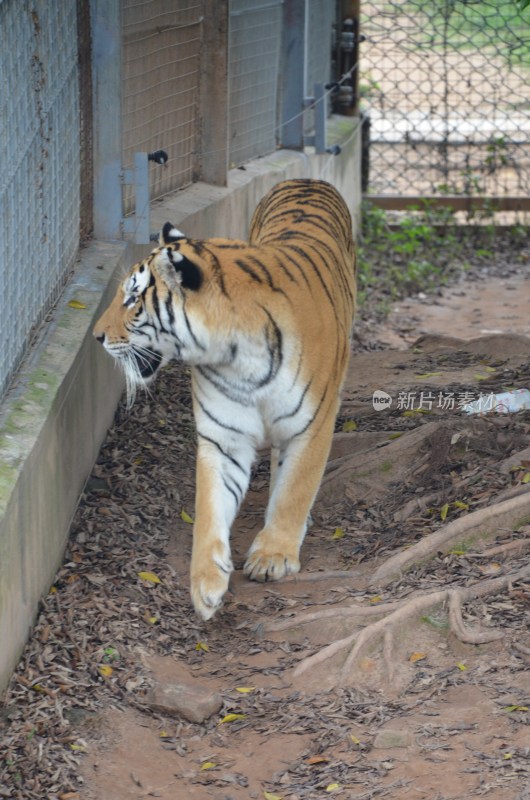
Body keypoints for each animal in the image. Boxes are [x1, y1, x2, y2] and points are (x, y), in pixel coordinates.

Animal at [93, 178, 356, 620]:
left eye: (132, 299)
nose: (95, 336)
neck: (237, 355)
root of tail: (306, 180)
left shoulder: (312, 423)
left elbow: (295, 488)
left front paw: (273, 555)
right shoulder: (223, 437)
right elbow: (210, 509)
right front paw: (205, 584)